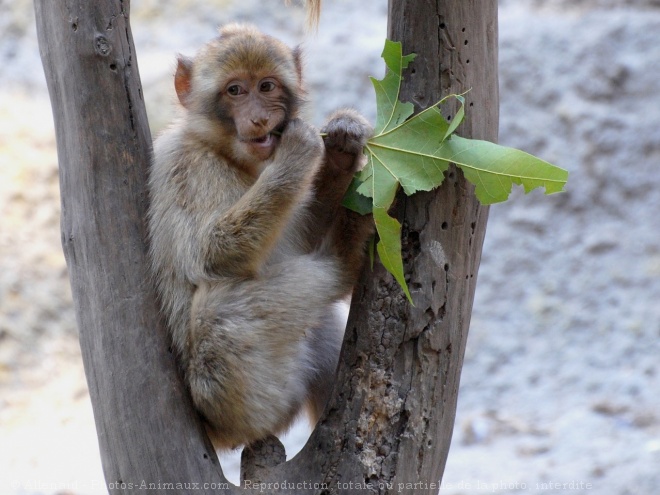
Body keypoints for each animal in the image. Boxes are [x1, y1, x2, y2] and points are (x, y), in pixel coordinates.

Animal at [148, 23, 374, 450]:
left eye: (266, 86)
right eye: (235, 90)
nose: (258, 119)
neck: (228, 154)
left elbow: (298, 239)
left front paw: (342, 150)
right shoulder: (190, 167)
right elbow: (213, 254)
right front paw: (300, 151)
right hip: (236, 399)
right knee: (219, 311)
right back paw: (343, 259)